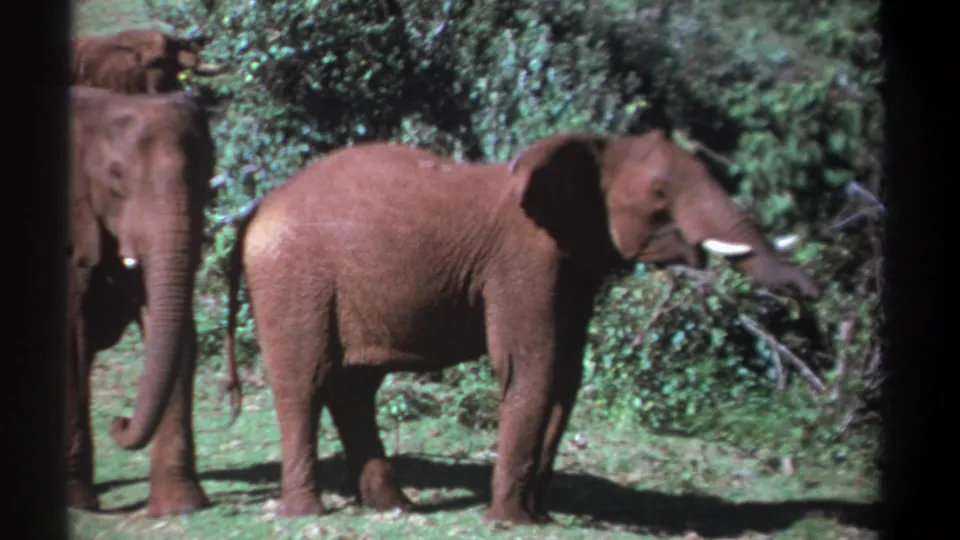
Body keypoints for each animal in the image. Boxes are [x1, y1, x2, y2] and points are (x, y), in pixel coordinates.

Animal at [66, 86, 216, 517]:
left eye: (205, 175)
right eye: (116, 176)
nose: (118, 422)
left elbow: (173, 331)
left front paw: (181, 507)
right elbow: (71, 337)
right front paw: (78, 503)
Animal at [220, 130, 820, 525]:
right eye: (659, 195)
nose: (810, 294)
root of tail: (258, 206)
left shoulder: (573, 264)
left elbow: (566, 375)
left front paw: (539, 517)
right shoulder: (524, 258)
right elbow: (531, 365)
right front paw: (510, 523)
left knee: (354, 389)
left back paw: (396, 509)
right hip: (293, 277)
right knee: (305, 383)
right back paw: (305, 515)